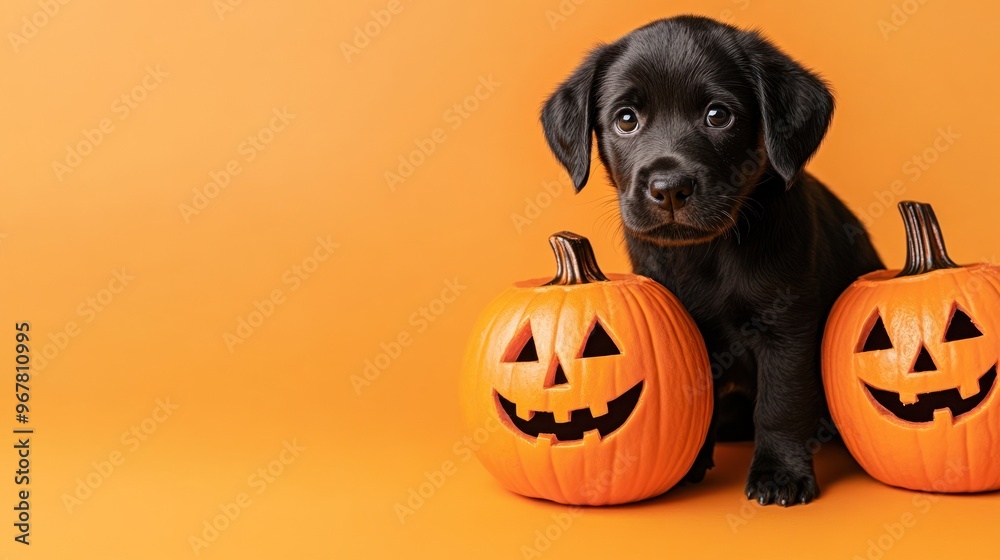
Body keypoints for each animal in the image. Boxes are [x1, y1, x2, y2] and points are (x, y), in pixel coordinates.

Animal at [544, 16, 880, 508]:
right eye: (626, 120)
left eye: (718, 115)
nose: (669, 188)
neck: (707, 253)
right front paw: (687, 463)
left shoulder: (789, 329)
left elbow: (781, 405)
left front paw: (780, 473)